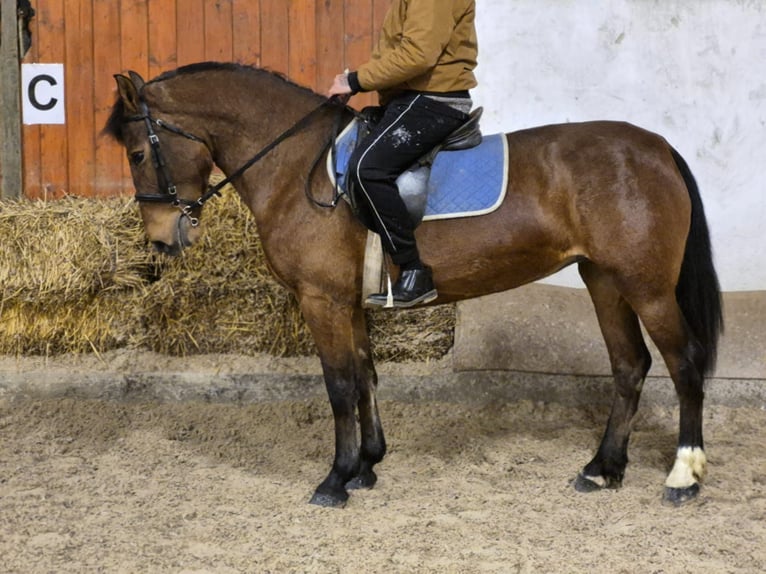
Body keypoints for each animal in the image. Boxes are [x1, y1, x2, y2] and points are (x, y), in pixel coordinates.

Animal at [104, 62, 723, 508]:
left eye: (137, 153)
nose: (162, 239)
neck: (298, 167)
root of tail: (655, 147)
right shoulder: (349, 301)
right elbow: (365, 373)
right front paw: (367, 465)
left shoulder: (321, 300)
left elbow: (339, 386)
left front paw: (335, 479)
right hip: (605, 281)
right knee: (630, 366)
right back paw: (602, 469)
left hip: (647, 287)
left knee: (685, 365)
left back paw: (683, 475)